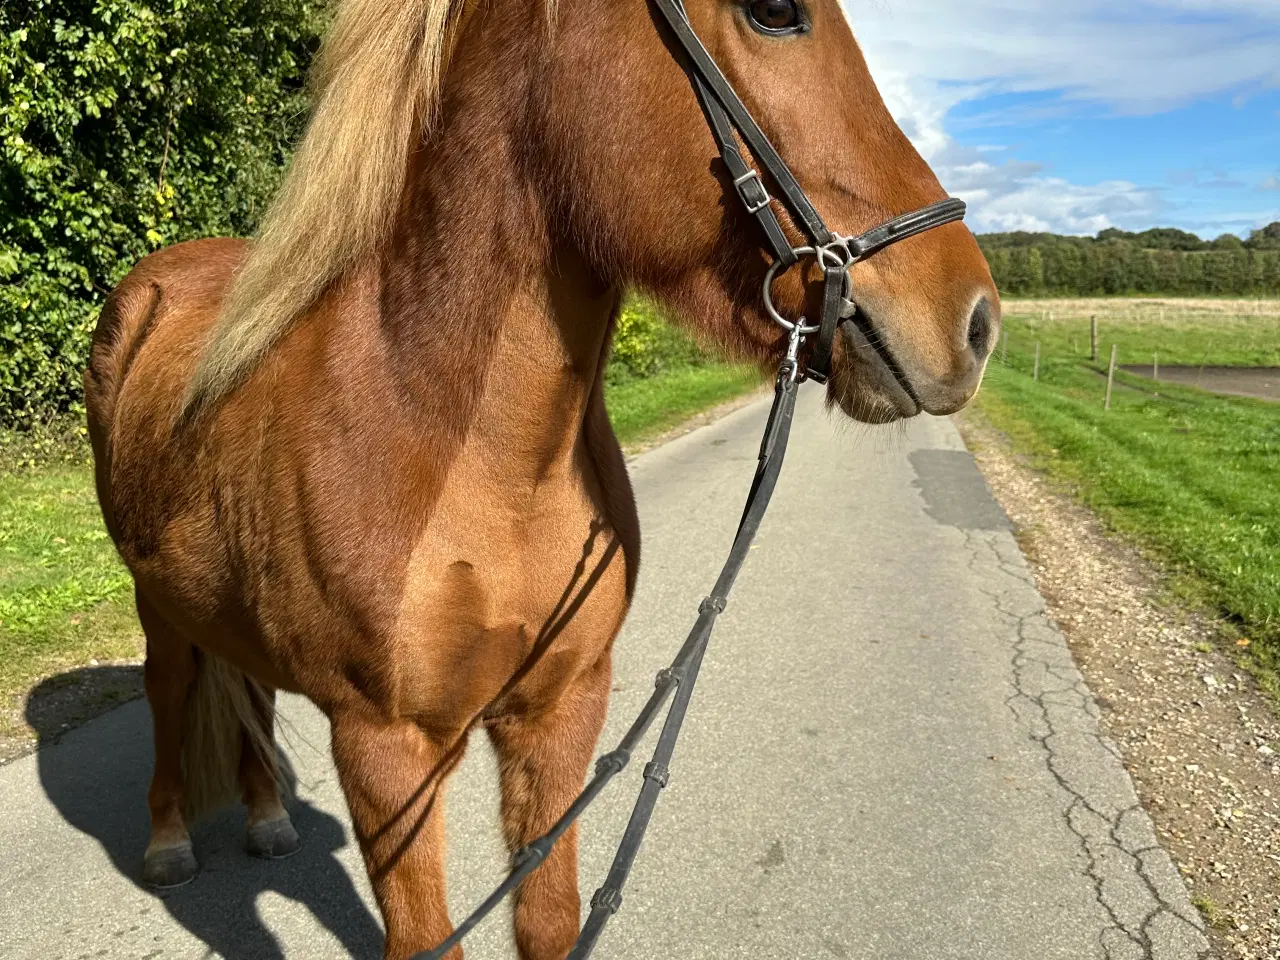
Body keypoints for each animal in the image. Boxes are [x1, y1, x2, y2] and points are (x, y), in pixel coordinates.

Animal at [85, 0, 998, 957]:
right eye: (776, 12)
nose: (974, 324)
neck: (478, 464)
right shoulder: (387, 750)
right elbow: (424, 937)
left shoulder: (562, 708)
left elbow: (551, 918)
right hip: (156, 603)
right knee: (169, 691)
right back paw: (168, 841)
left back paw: (267, 818)